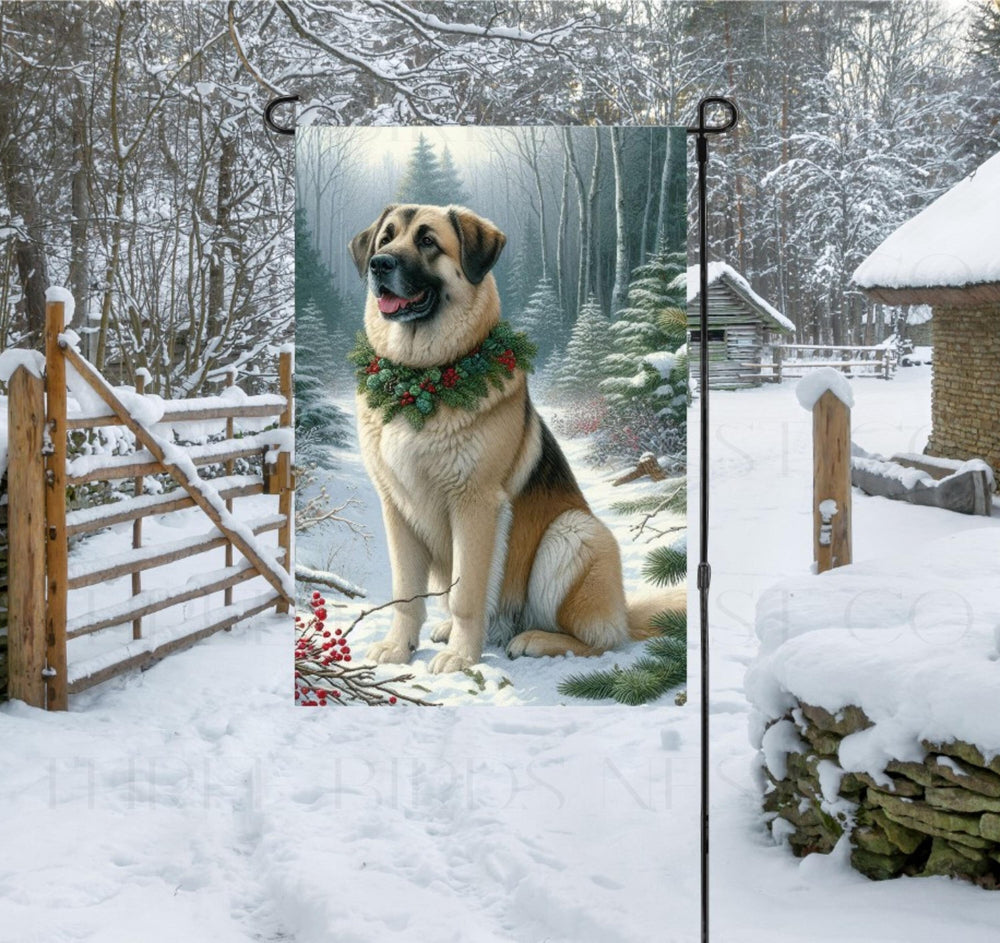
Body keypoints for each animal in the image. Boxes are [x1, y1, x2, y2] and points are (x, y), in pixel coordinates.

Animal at [348, 203, 684, 676]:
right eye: (385, 239)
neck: (422, 380)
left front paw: (460, 658)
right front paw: (399, 648)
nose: (379, 265)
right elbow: (405, 594)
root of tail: (623, 611)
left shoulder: (475, 506)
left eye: (428, 241)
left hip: (574, 533)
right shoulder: (396, 509)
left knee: (600, 641)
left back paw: (534, 640)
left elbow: (466, 594)